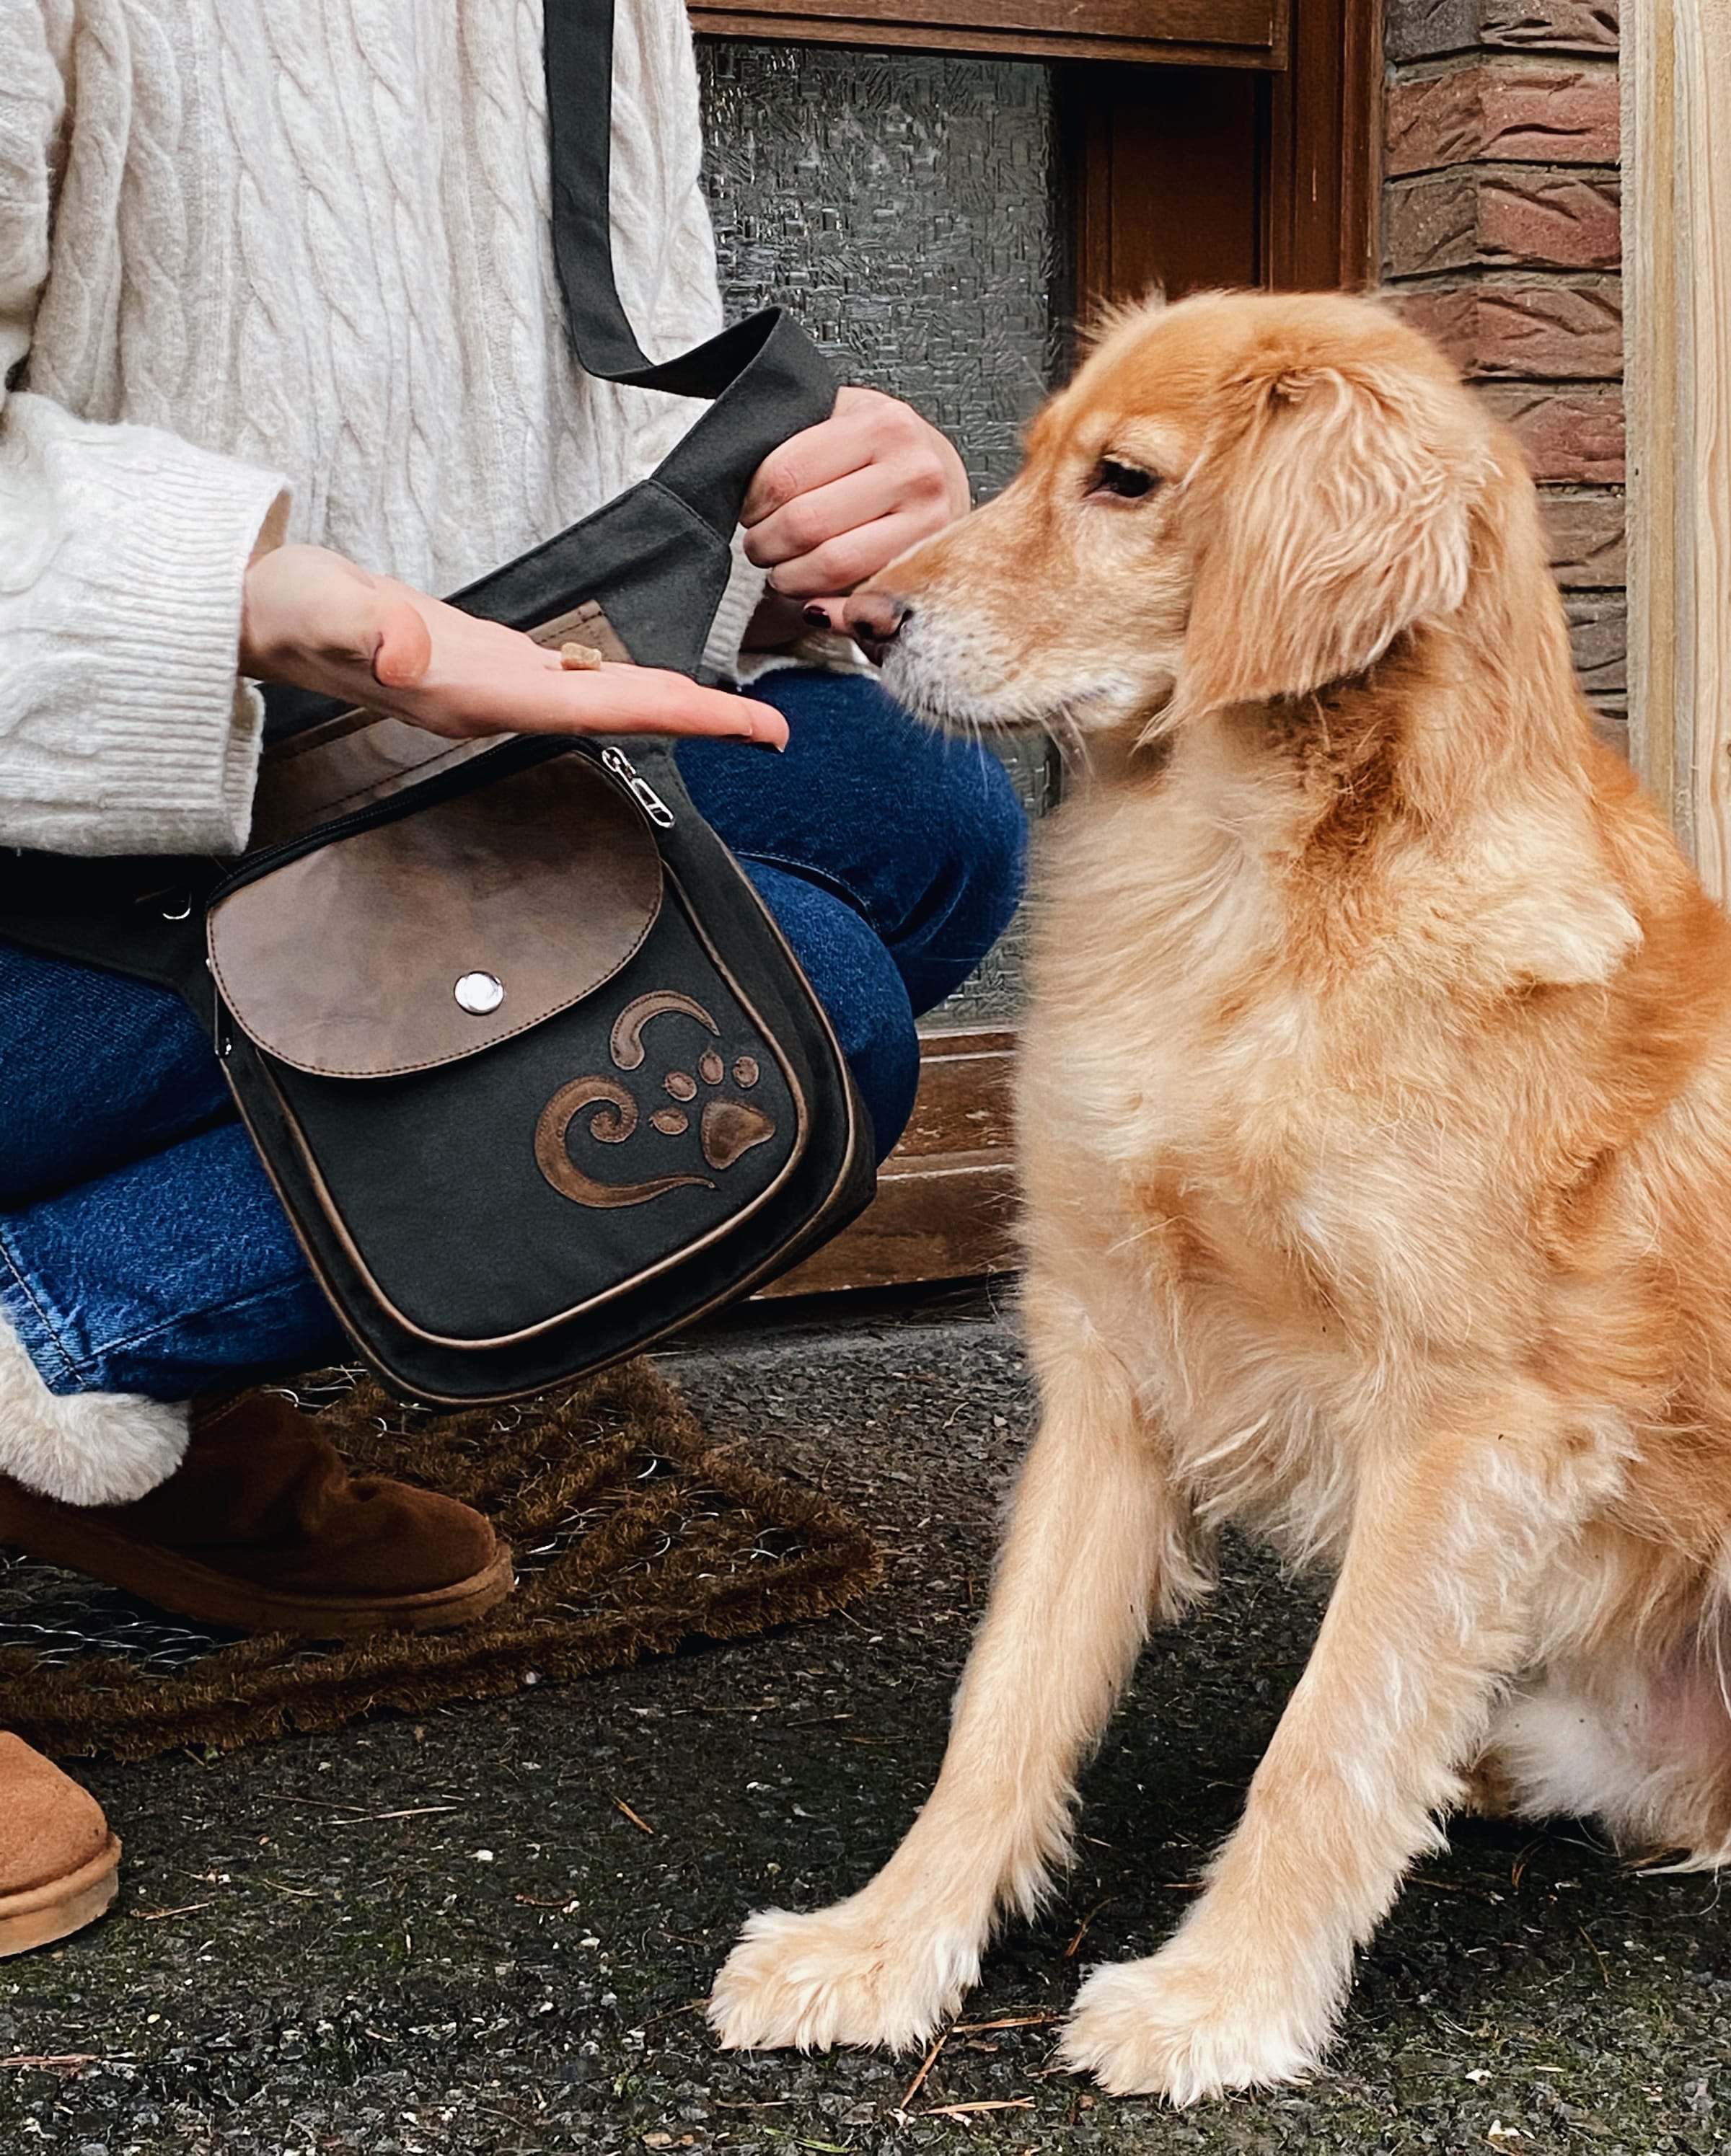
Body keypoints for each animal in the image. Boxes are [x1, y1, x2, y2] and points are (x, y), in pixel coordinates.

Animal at [707, 295, 1731, 2095]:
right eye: (1033, 458)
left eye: (1125, 481)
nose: (858, 616)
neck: (1238, 900)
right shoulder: (1110, 1358)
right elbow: (1004, 1705)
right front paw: (879, 1945)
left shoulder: (1469, 1429)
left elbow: (1325, 1741)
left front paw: (1223, 1996)